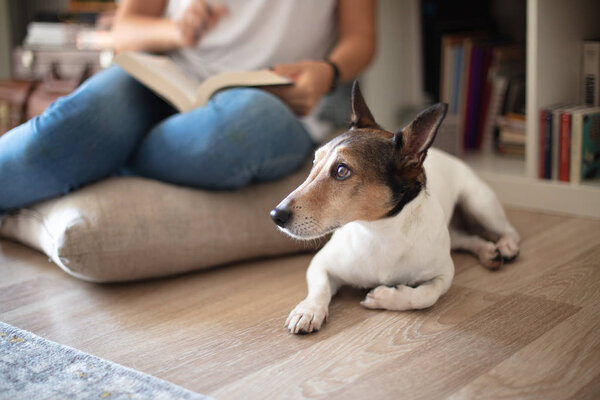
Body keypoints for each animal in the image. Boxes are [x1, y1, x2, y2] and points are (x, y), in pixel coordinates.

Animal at [270, 82, 516, 334]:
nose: (276, 215)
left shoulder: (444, 274)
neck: (378, 231)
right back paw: (488, 251)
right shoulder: (321, 263)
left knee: (507, 229)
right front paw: (308, 311)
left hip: (479, 204)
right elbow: (319, 288)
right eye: (313, 163)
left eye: (341, 170)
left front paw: (385, 297)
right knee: (467, 238)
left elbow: (425, 296)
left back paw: (505, 246)